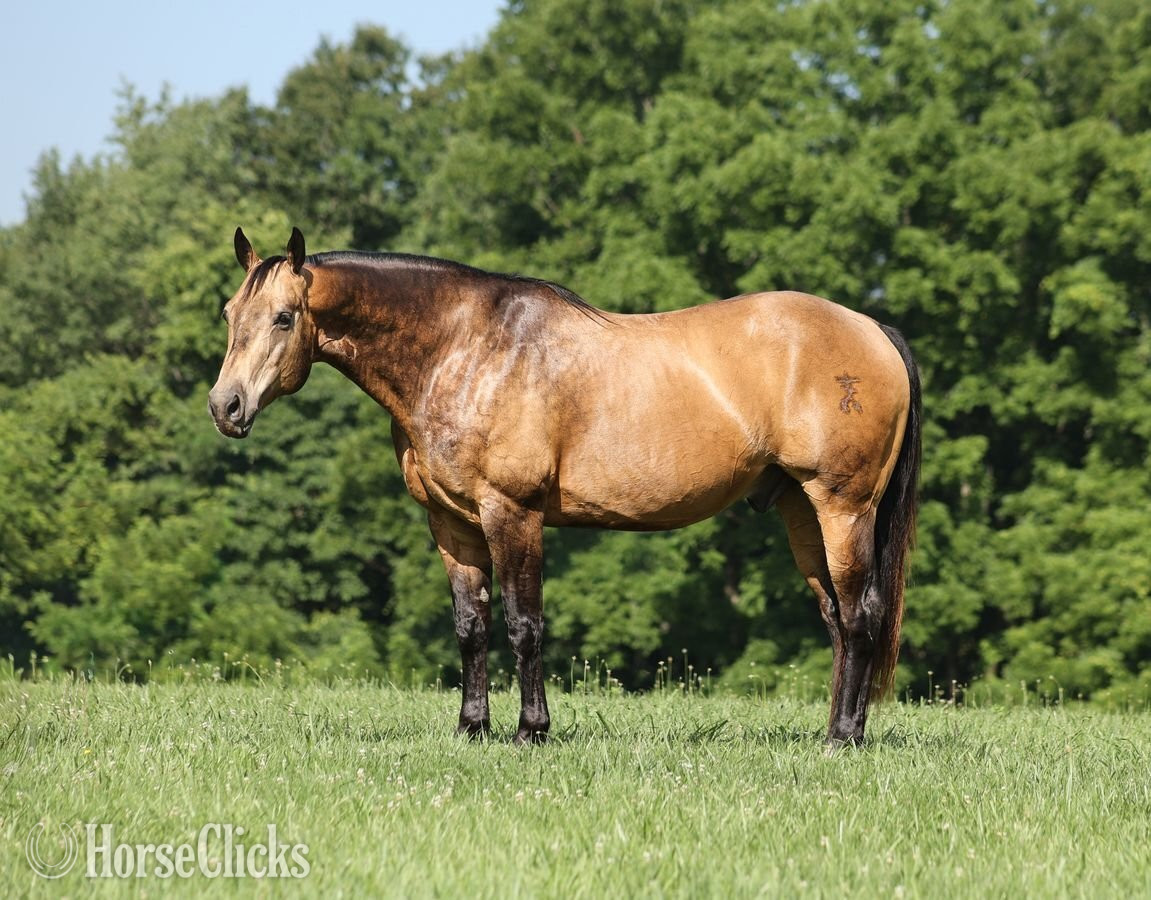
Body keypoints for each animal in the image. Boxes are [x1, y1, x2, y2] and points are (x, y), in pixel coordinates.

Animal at [209, 227, 921, 747]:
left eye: (282, 318)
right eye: (229, 313)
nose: (226, 406)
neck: (464, 350)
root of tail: (872, 330)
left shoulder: (512, 513)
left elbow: (524, 624)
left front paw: (531, 731)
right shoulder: (452, 523)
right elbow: (471, 626)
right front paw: (472, 728)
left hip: (843, 508)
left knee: (861, 614)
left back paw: (845, 738)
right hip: (802, 511)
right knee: (836, 619)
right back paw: (834, 730)